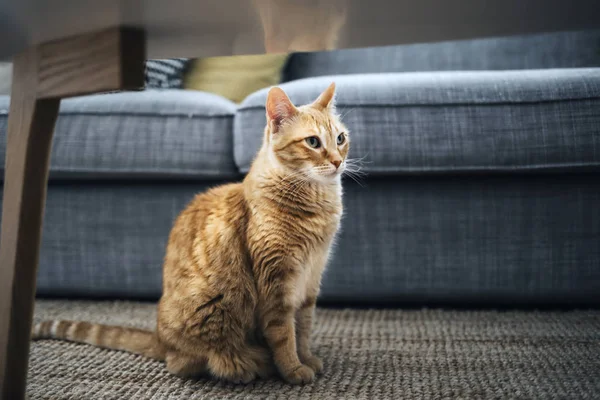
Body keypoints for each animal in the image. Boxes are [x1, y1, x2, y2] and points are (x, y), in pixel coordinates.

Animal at [32, 83, 350, 384]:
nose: (337, 161)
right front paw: (293, 369)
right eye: (313, 142)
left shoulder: (311, 280)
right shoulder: (276, 285)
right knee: (184, 363)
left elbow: (303, 328)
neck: (315, 206)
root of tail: (160, 339)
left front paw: (306, 358)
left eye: (340, 139)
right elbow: (284, 334)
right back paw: (243, 367)